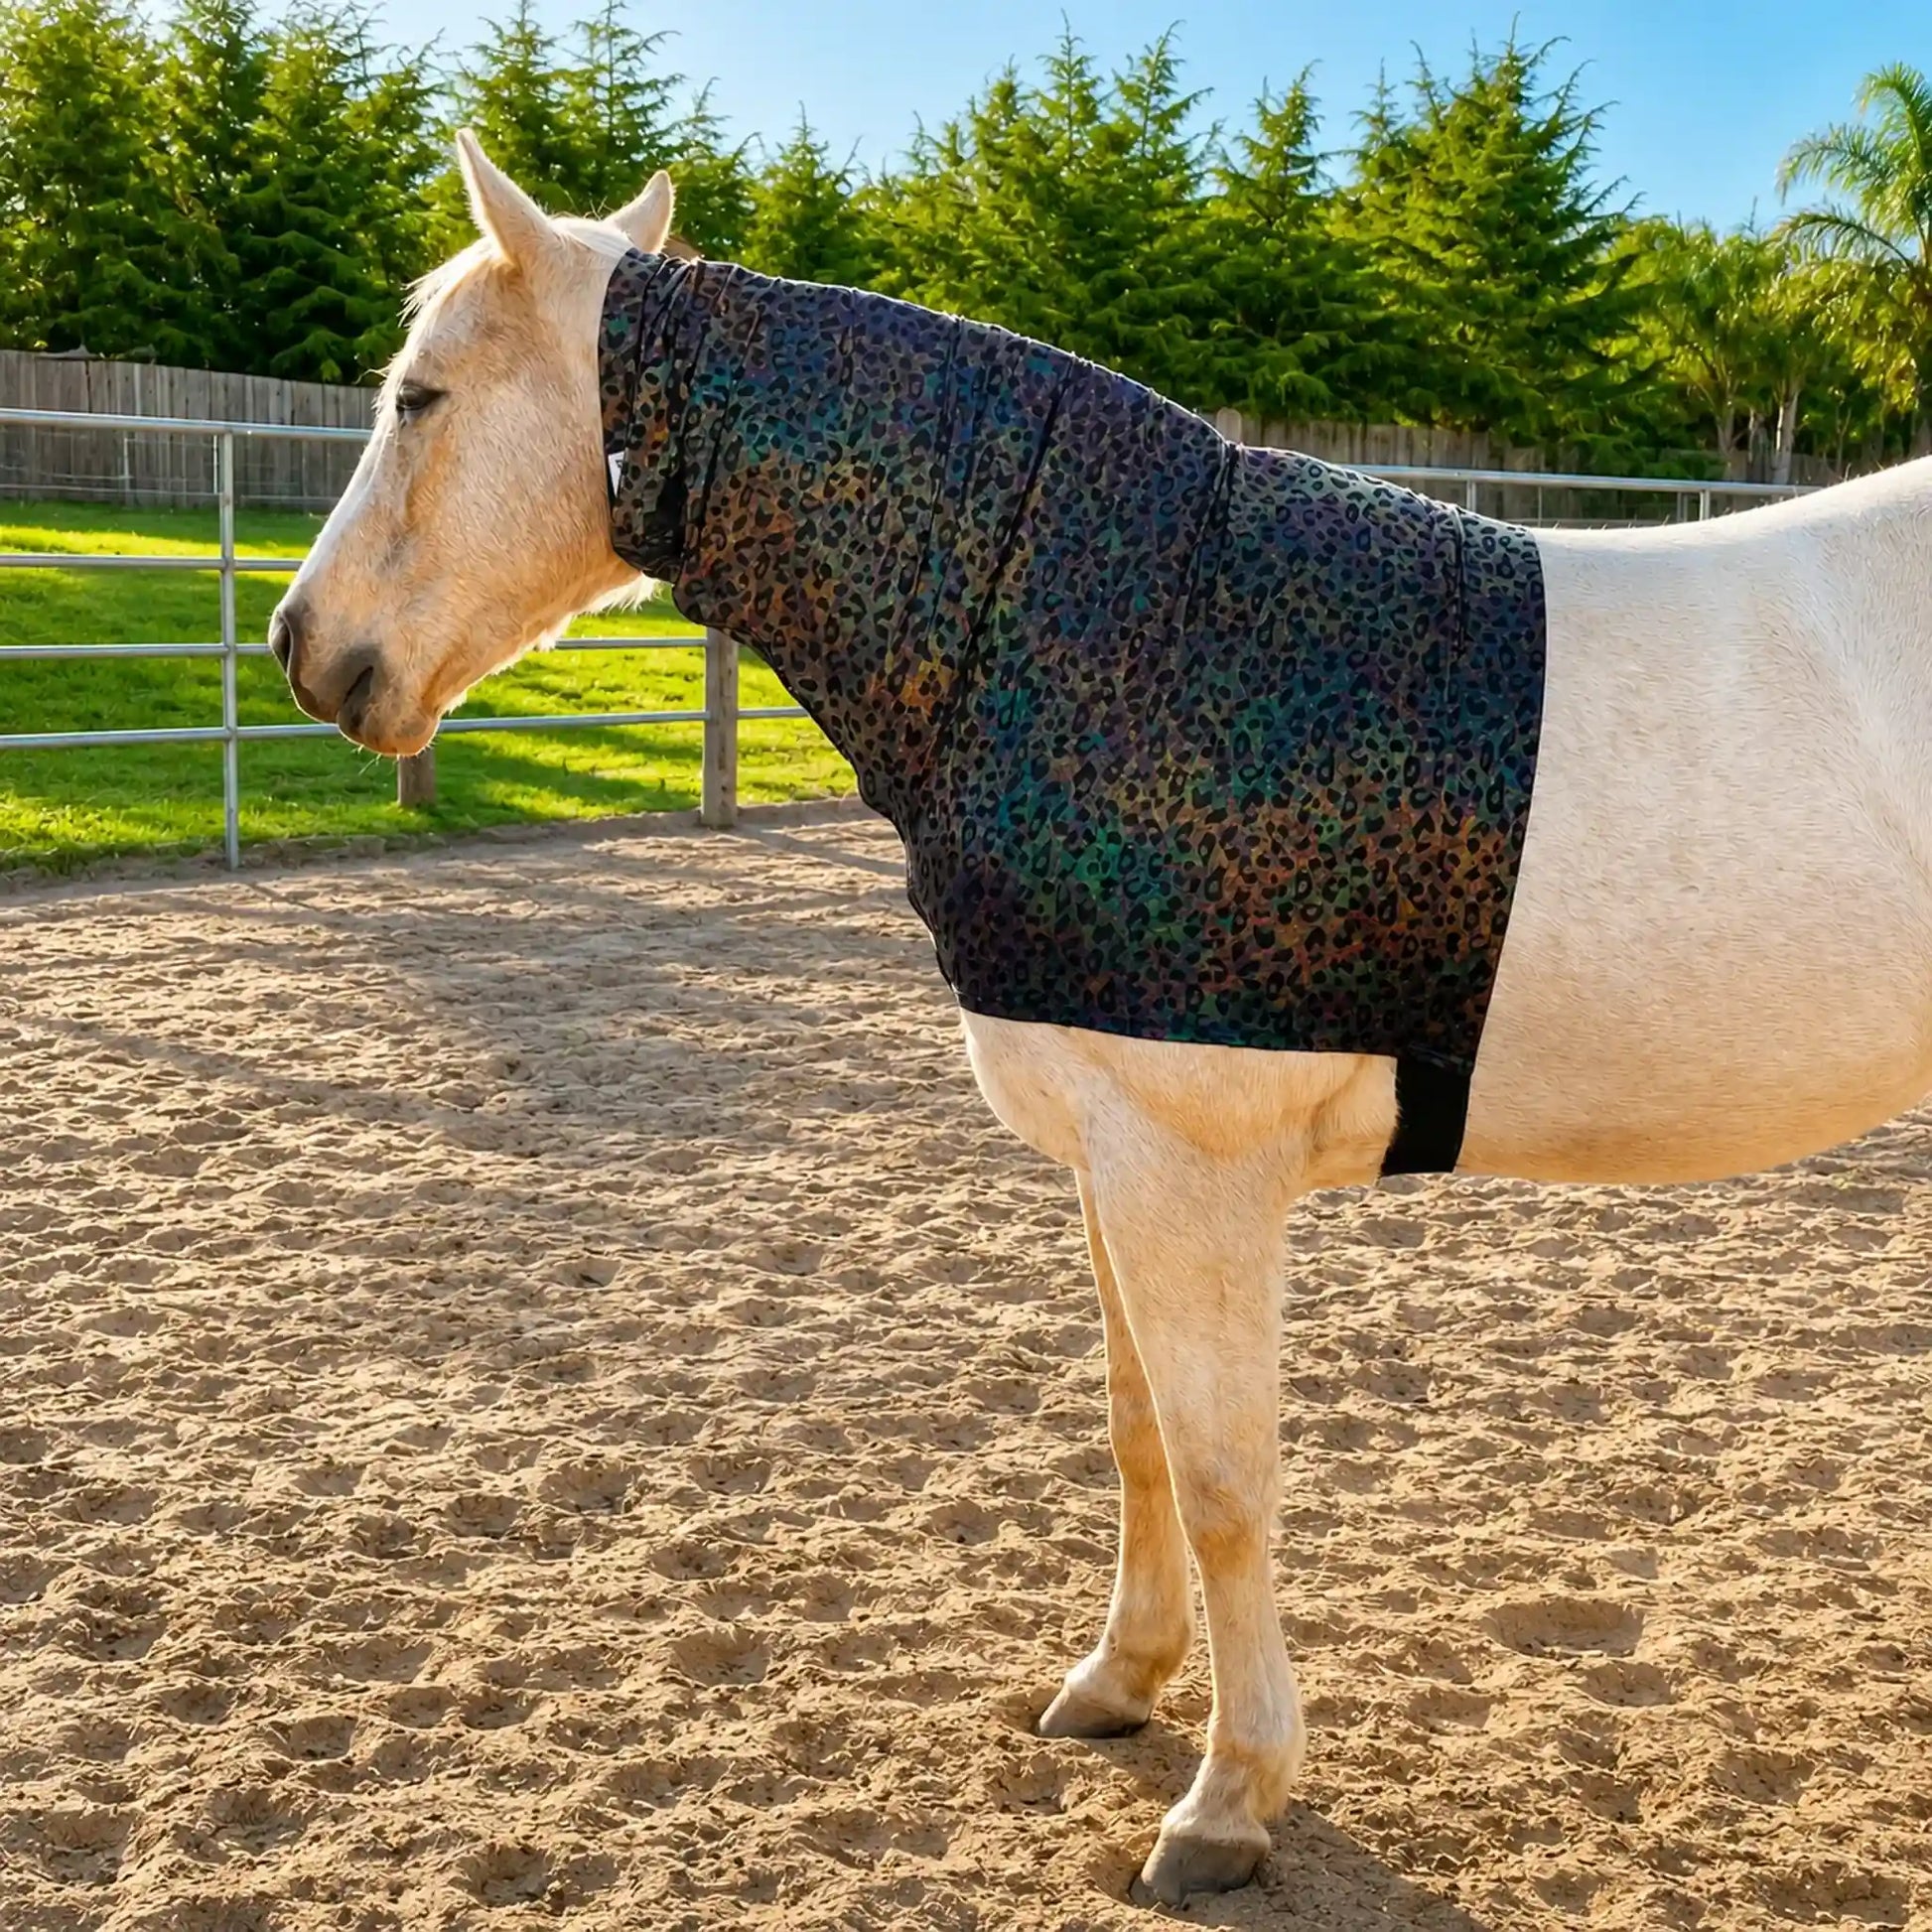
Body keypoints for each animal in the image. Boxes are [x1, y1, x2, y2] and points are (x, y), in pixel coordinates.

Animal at [269, 133, 1932, 1906]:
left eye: (420, 395)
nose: (304, 650)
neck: (1111, 635)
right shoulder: (1110, 1166)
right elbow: (1138, 1436)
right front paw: (1120, 1683)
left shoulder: (1191, 1173)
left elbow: (1223, 1483)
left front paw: (1227, 1801)